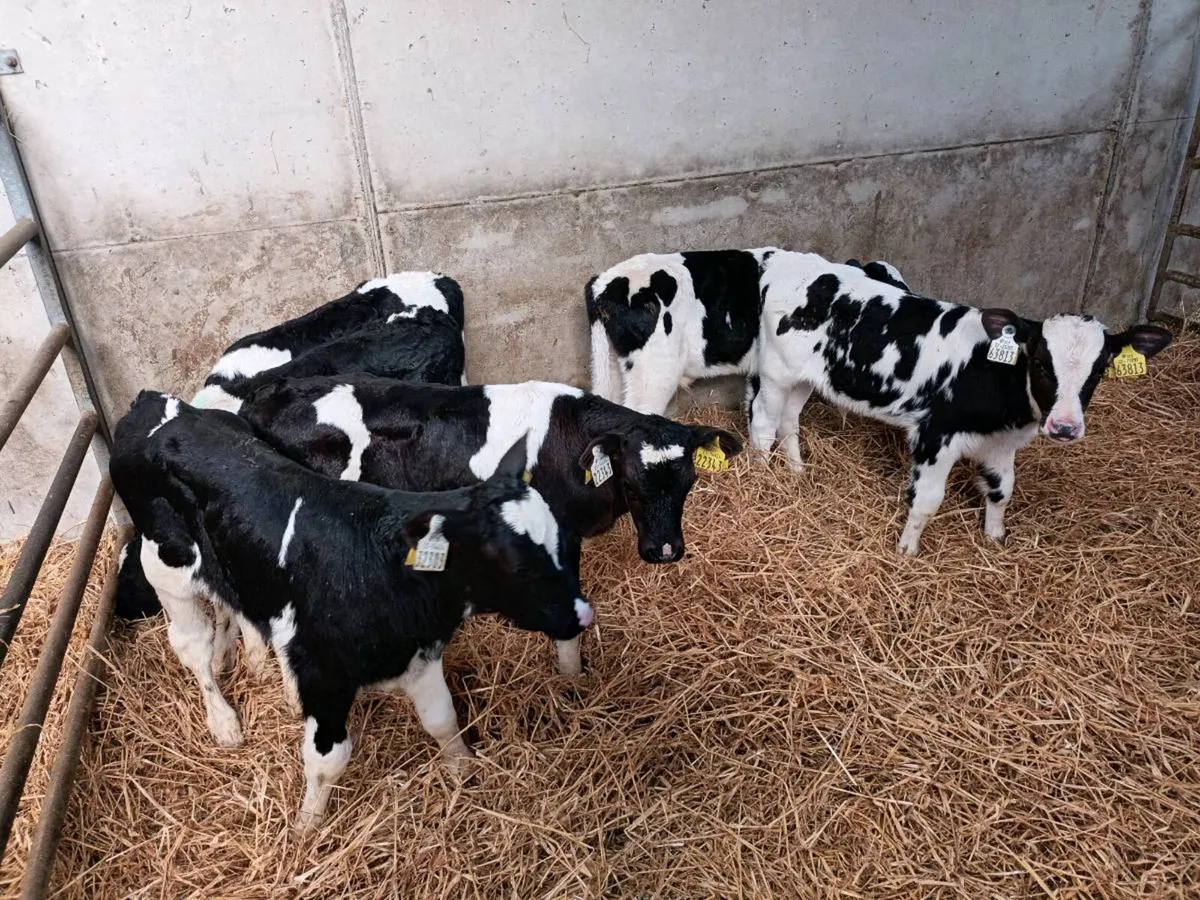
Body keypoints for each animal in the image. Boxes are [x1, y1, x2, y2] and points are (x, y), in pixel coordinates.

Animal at [111, 391, 592, 829]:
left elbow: (442, 719)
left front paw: (463, 768)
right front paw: (306, 826)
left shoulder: (418, 654)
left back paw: (262, 667)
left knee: (240, 607)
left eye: (566, 544)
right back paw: (224, 722)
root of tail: (156, 402)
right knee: (193, 647)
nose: (583, 615)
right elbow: (328, 759)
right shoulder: (325, 676)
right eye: (515, 564)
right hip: (166, 566)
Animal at [747, 251, 1173, 555]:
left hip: (806, 378)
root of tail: (786, 261)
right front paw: (906, 550)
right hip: (775, 374)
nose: (1065, 427)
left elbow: (1003, 490)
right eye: (1038, 362)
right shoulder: (936, 436)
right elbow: (927, 501)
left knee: (789, 422)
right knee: (764, 426)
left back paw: (797, 471)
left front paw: (995, 537)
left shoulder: (1001, 442)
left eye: (1100, 369)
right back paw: (762, 477)